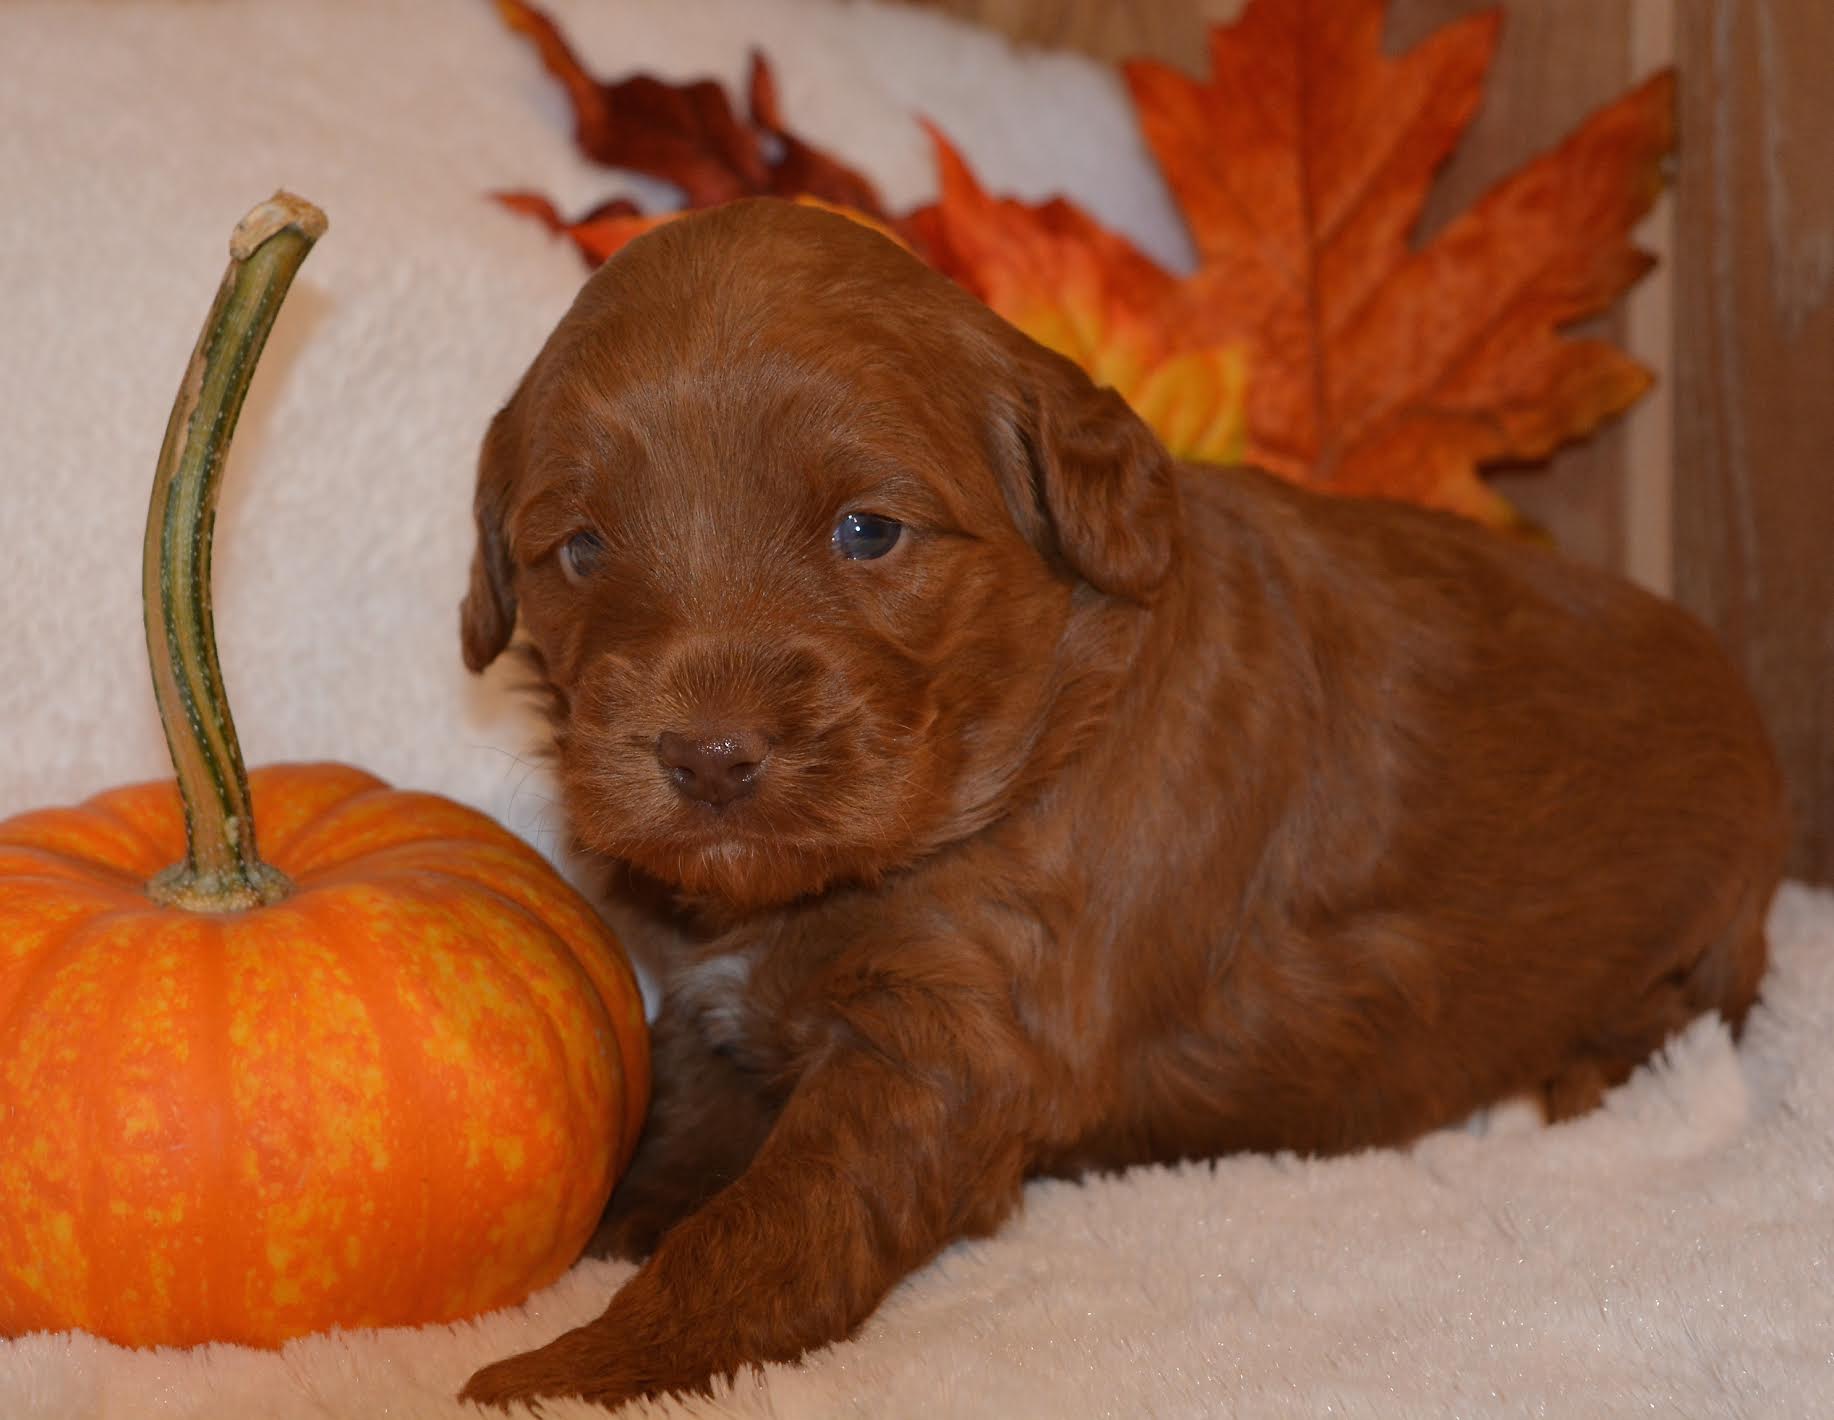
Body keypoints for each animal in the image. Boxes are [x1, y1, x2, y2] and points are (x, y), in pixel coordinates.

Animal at [458, 199, 1789, 1408]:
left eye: (867, 530)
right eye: (580, 550)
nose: (709, 758)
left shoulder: (955, 1043)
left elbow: (770, 1227)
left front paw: (571, 1369)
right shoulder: (712, 1008)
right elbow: (677, 1125)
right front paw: (607, 1236)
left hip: (1696, 942)